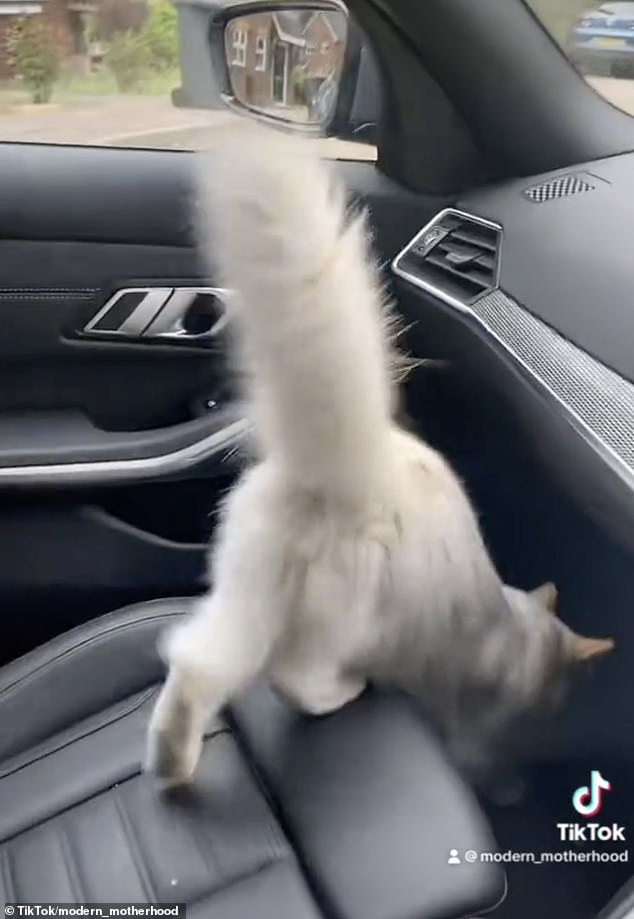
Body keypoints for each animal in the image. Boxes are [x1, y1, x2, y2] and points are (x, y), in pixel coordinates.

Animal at [144, 122, 612, 784]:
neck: (513, 629)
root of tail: (347, 465)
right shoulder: (476, 730)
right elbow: (489, 759)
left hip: (245, 594)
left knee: (195, 665)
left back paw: (170, 765)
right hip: (337, 624)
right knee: (291, 676)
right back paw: (340, 694)